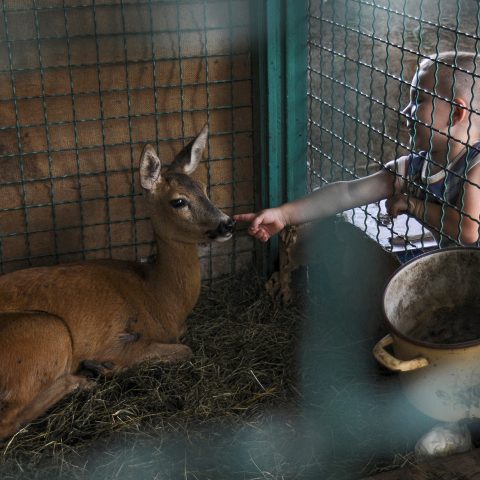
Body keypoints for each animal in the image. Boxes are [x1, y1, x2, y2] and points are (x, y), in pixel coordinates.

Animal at [0, 125, 234, 440]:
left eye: (205, 189)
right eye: (179, 201)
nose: (227, 223)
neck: (159, 297)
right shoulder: (117, 340)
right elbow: (185, 350)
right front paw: (104, 365)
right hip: (46, 331)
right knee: (8, 420)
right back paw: (86, 376)